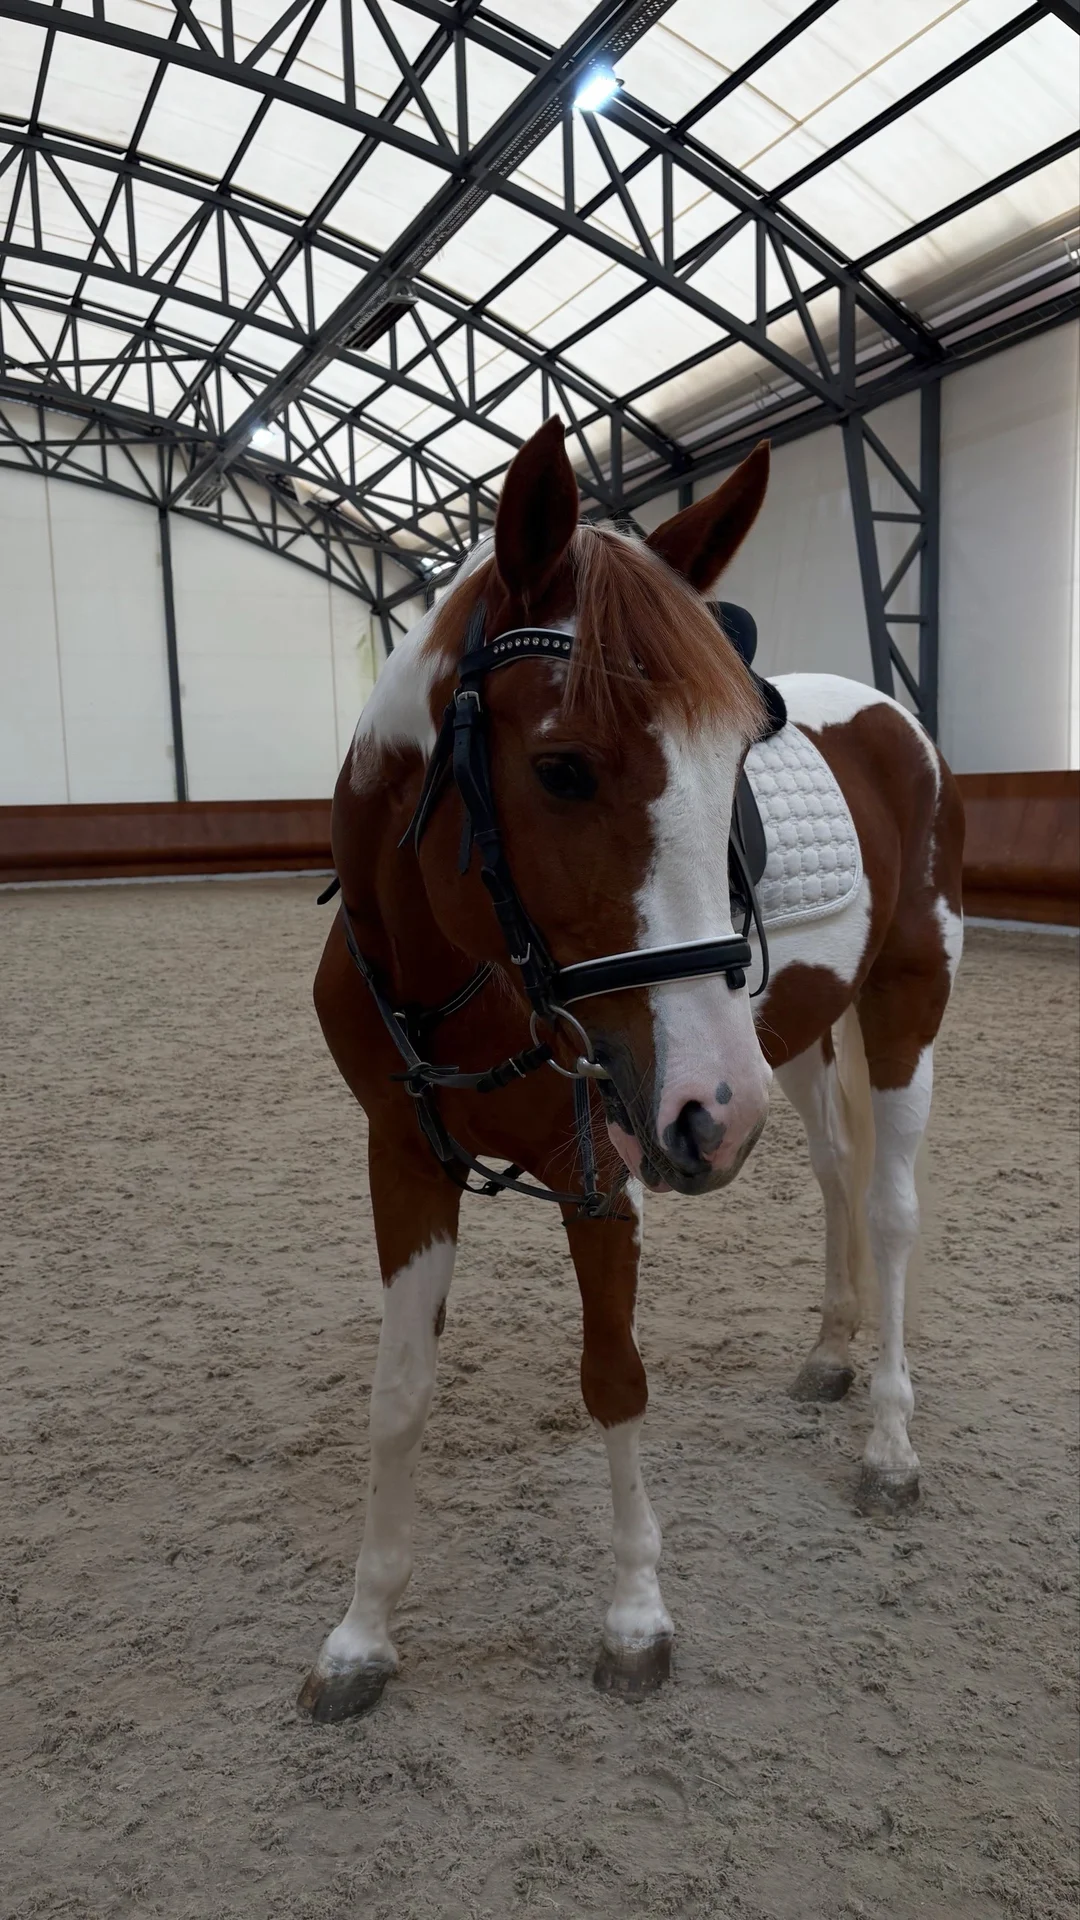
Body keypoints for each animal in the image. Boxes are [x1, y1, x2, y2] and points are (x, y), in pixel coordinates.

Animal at [297, 419, 964, 1723]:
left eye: (737, 755)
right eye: (562, 769)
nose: (706, 1113)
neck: (451, 968)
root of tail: (889, 714)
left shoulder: (601, 1168)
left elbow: (614, 1377)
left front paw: (636, 1619)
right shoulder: (403, 1156)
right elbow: (400, 1393)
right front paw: (360, 1636)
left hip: (897, 1004)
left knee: (892, 1209)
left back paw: (891, 1447)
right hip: (793, 1047)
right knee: (834, 1176)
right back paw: (830, 1354)